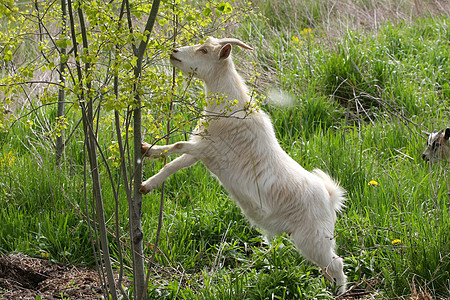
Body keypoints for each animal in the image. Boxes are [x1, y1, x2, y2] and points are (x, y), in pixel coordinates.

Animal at [141, 36, 348, 294]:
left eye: (204, 50)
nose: (174, 51)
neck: (230, 107)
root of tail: (330, 198)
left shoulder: (208, 148)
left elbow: (178, 145)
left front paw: (147, 158)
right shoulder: (200, 150)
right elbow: (173, 164)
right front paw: (147, 167)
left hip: (314, 238)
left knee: (337, 263)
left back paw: (339, 292)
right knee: (327, 267)